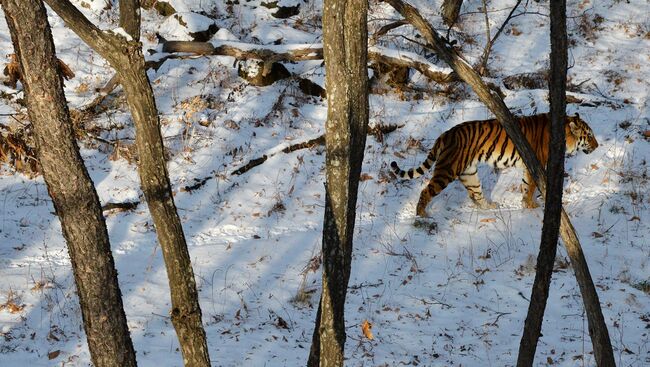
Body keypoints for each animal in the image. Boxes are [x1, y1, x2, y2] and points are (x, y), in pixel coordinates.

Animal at [390, 113, 596, 217]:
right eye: (590, 135)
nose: (597, 145)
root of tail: (446, 133)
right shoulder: (535, 163)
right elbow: (531, 186)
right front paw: (531, 205)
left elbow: (526, 186)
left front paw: (526, 203)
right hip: (447, 170)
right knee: (426, 191)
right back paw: (421, 215)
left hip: (469, 173)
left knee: (475, 194)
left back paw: (489, 207)